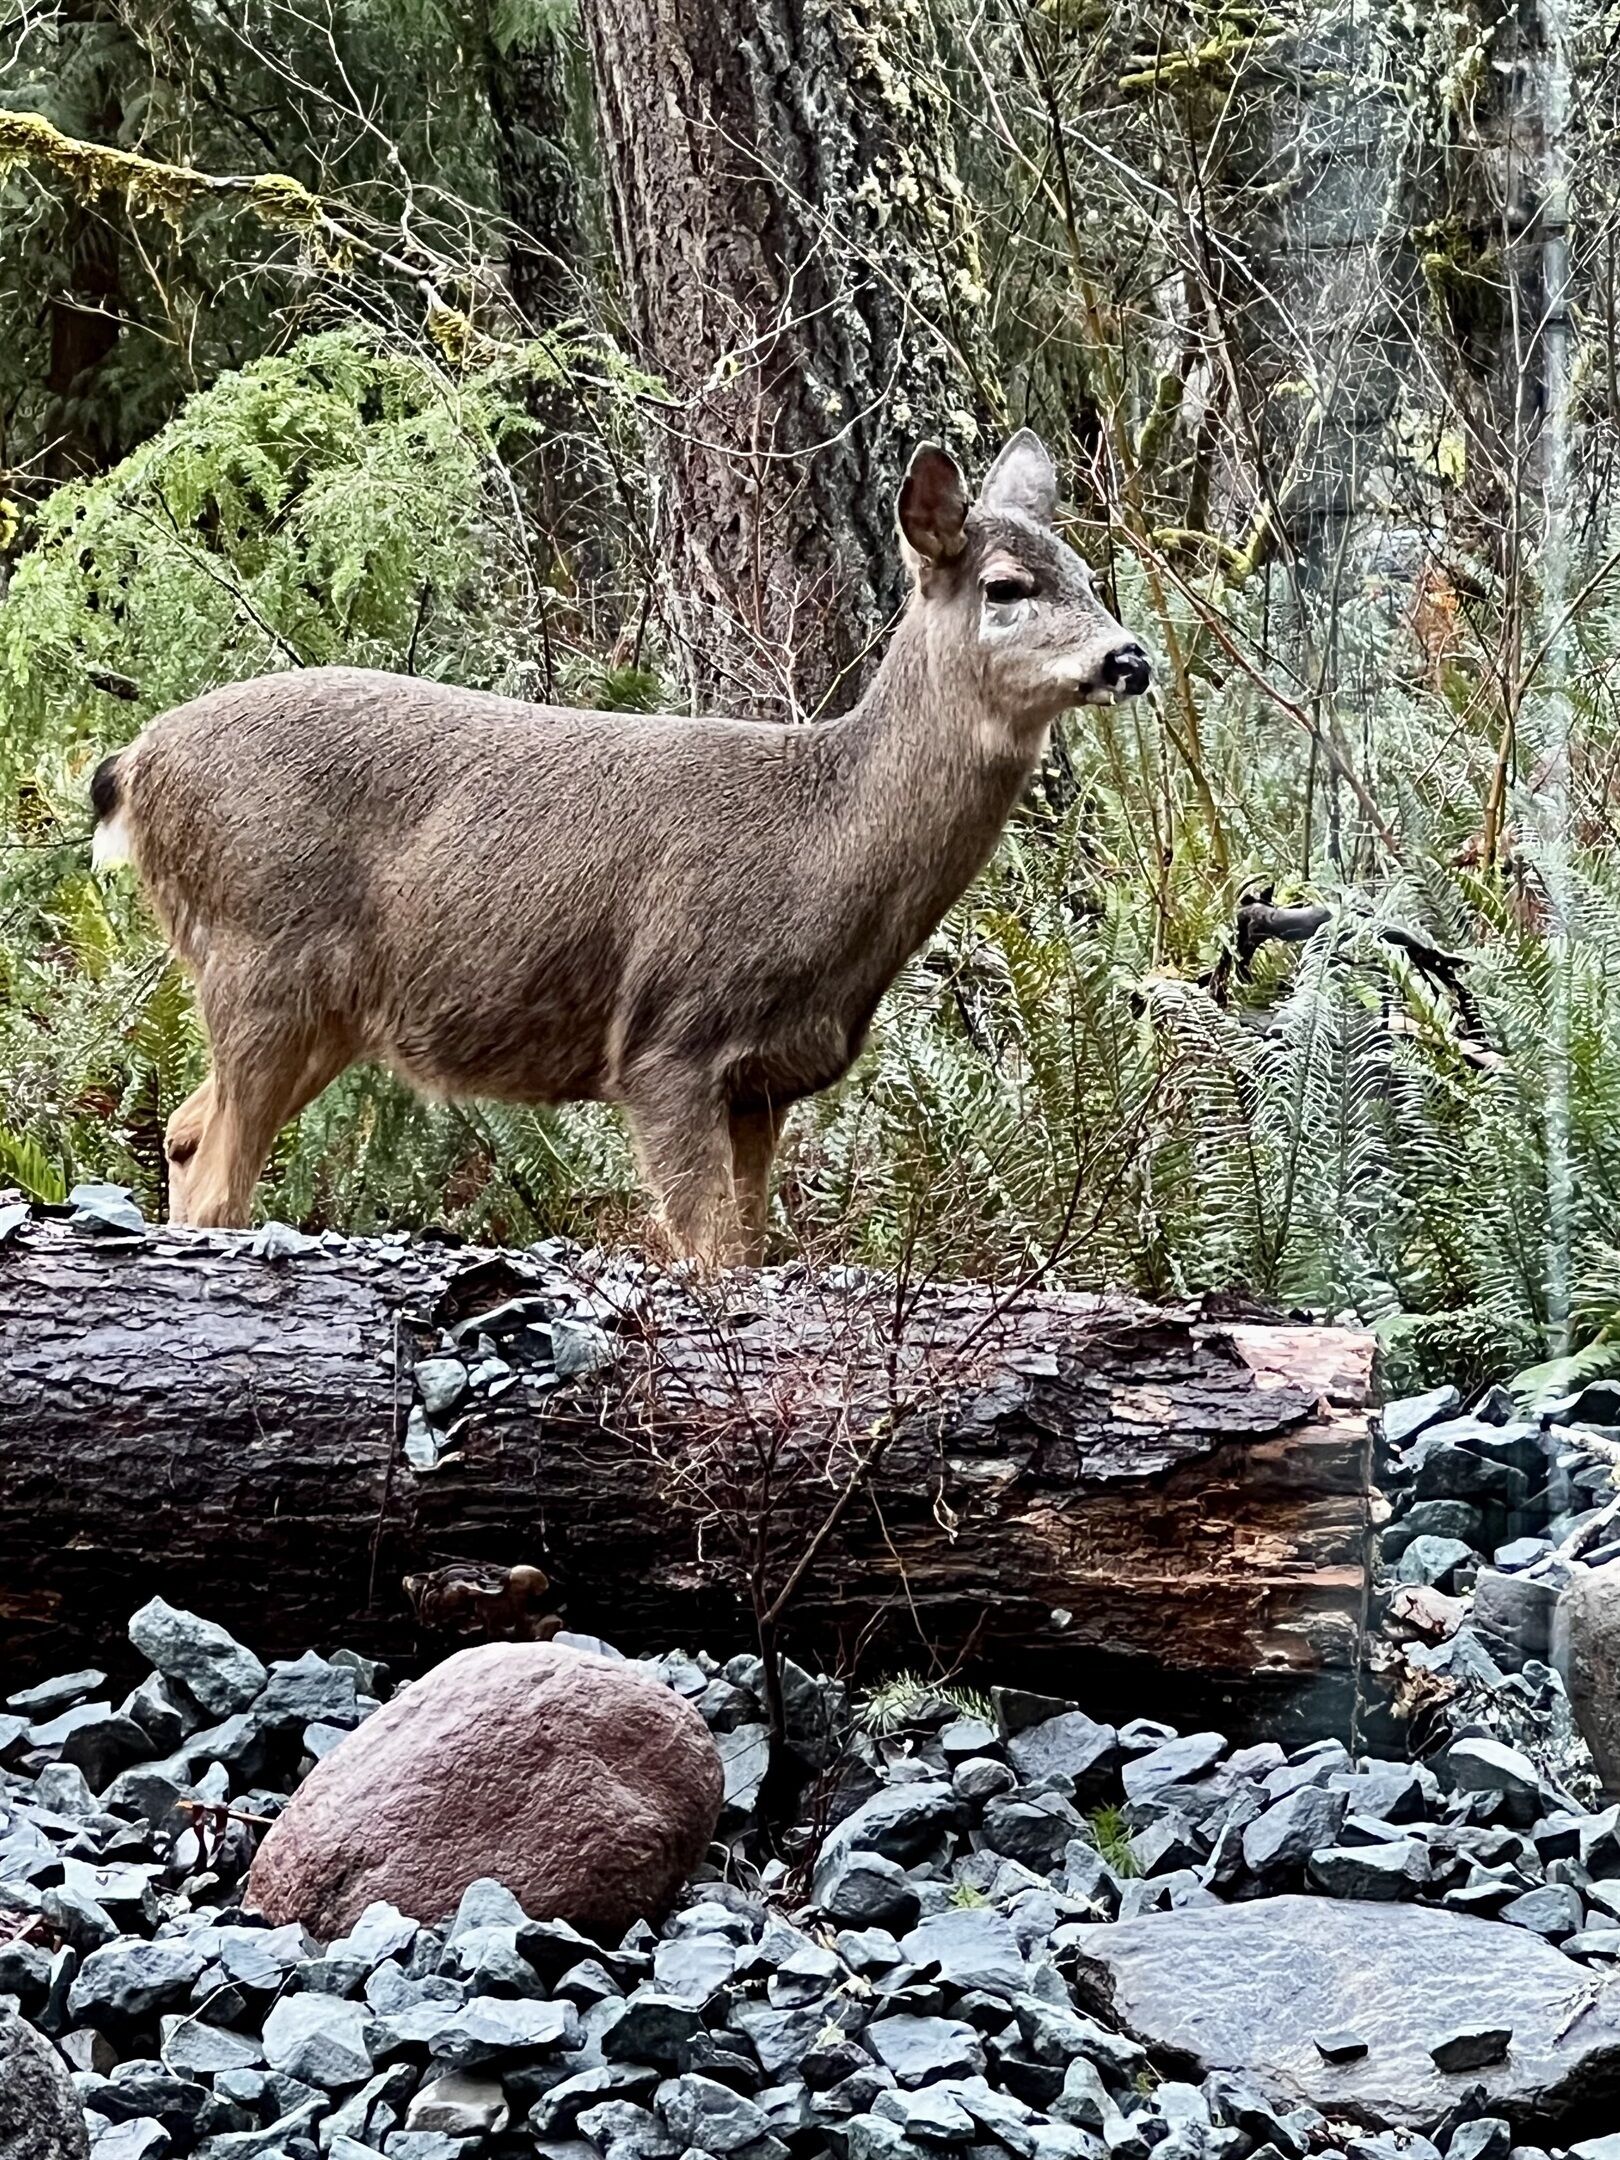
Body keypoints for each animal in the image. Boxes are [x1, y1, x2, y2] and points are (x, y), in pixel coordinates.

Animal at [90, 430, 1151, 1265]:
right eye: (1006, 587)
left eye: (1090, 576)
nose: (1129, 656)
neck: (821, 844)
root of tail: (135, 764)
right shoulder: (668, 1038)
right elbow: (710, 1258)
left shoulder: (765, 1081)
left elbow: (749, 1252)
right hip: (258, 953)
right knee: (219, 1176)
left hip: (321, 1004)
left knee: (184, 1132)